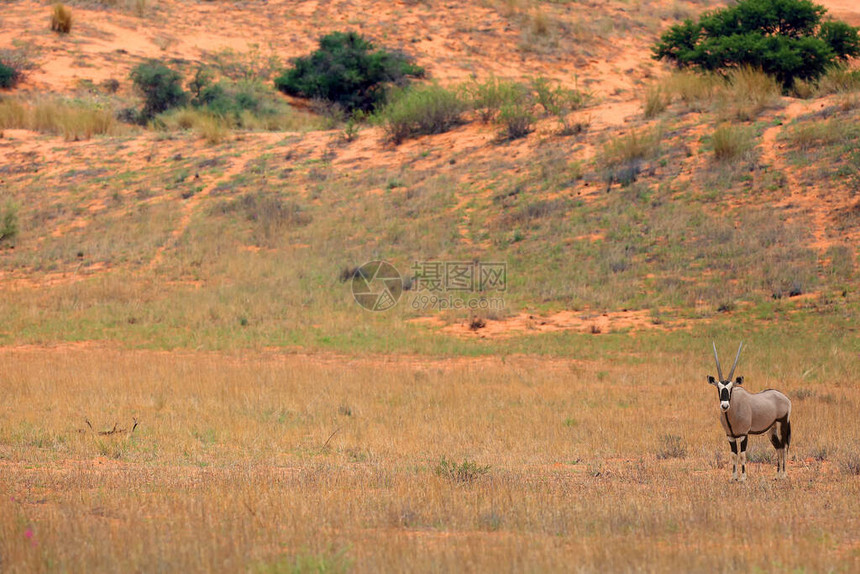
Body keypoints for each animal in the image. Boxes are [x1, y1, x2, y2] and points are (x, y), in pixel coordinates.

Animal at [708, 344, 788, 484]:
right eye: (718, 388)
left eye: (731, 388)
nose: (724, 406)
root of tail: (785, 398)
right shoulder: (730, 436)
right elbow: (734, 455)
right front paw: (733, 477)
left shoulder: (744, 434)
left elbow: (742, 455)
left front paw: (743, 478)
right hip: (771, 430)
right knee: (778, 448)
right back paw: (777, 475)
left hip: (782, 425)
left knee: (783, 447)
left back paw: (783, 475)